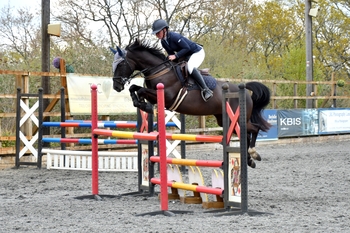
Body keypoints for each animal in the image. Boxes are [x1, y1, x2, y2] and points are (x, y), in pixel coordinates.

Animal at [110, 40, 272, 167]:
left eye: (121, 64)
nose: (116, 86)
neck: (159, 71)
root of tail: (243, 89)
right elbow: (134, 88)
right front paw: (141, 104)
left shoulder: (165, 96)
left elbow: (141, 91)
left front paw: (146, 106)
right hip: (225, 119)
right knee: (246, 134)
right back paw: (250, 160)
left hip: (237, 119)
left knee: (254, 129)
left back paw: (253, 153)